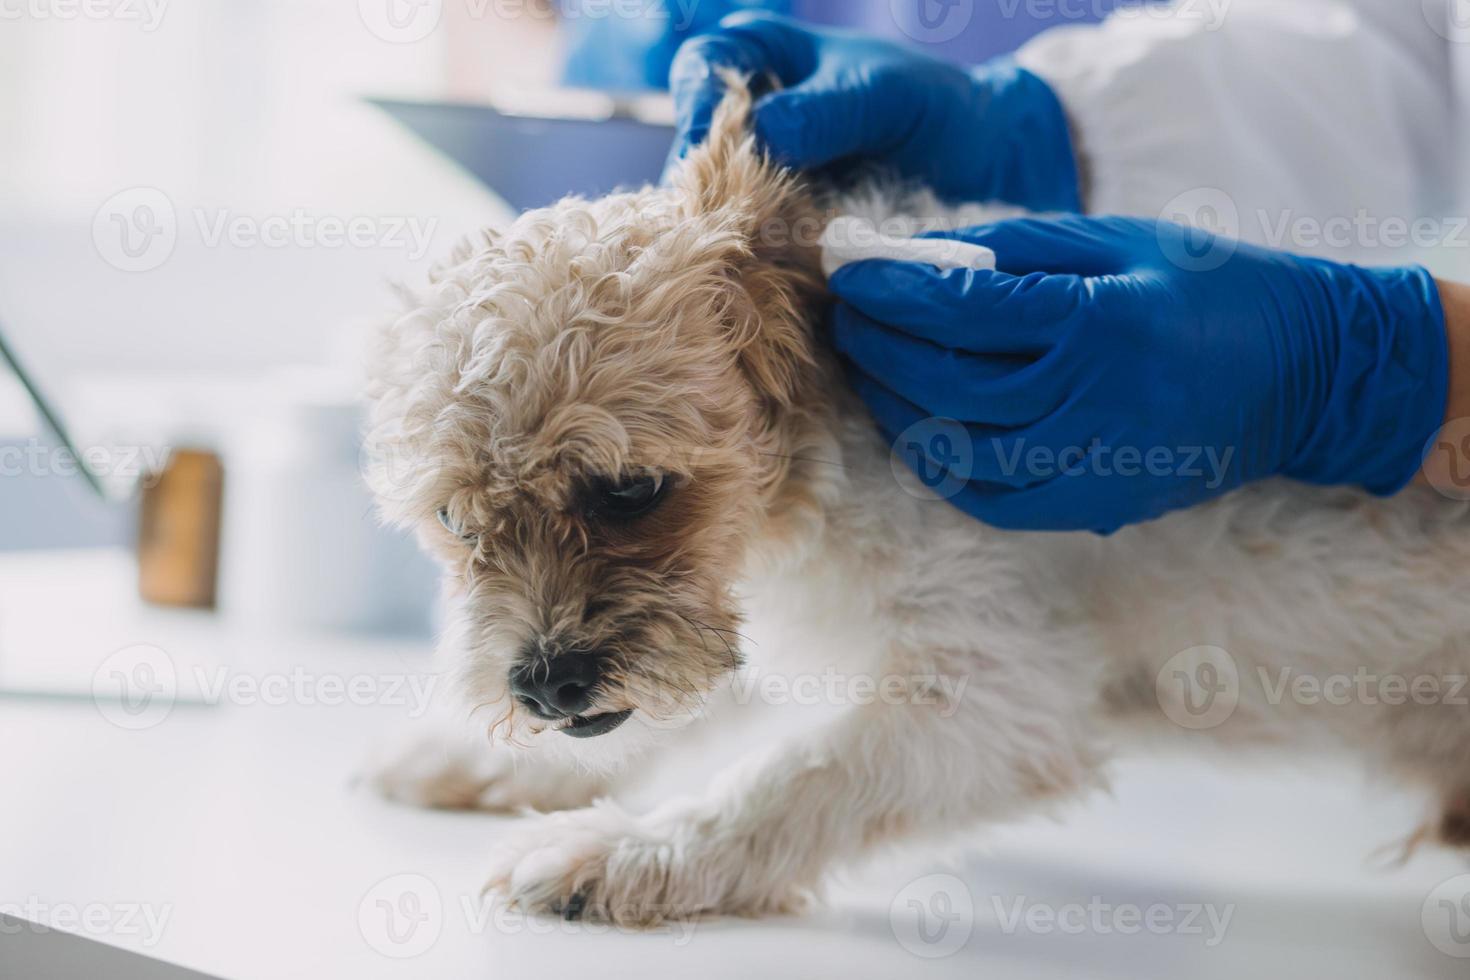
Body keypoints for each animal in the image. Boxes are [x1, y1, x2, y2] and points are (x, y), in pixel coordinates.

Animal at [364, 80, 1470, 922]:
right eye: (455, 523)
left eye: (631, 491)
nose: (543, 686)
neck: (820, 455)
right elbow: (697, 709)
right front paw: (486, 764)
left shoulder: (997, 701)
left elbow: (784, 780)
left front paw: (625, 852)